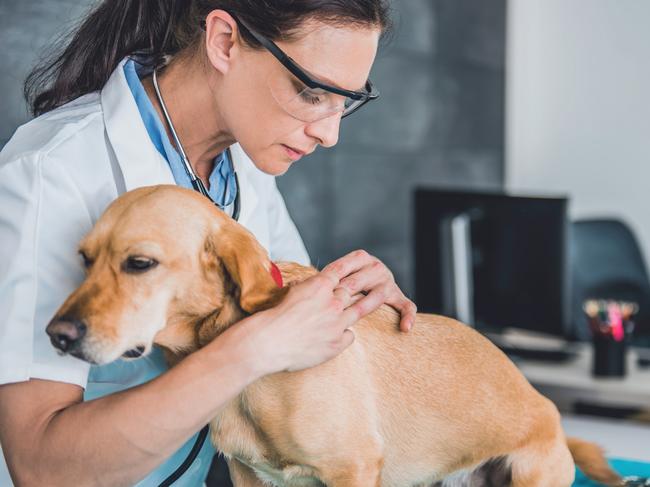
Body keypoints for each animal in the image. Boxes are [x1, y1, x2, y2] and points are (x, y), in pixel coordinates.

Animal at [46, 187, 624, 487]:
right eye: (83, 259)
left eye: (140, 263)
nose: (55, 335)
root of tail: (548, 410)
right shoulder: (250, 476)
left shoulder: (352, 469)